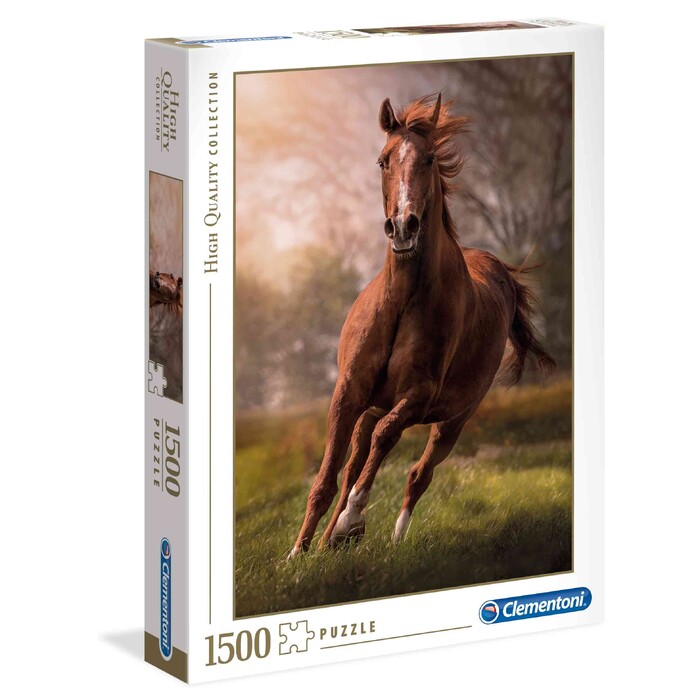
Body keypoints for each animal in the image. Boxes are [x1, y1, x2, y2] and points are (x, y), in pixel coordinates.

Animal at [288, 94, 554, 558]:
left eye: (429, 158)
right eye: (383, 160)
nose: (403, 226)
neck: (401, 301)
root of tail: (500, 269)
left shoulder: (417, 395)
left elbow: (385, 442)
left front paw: (352, 522)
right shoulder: (348, 392)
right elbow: (328, 475)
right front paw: (298, 554)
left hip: (453, 421)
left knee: (417, 473)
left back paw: (387, 538)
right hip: (376, 405)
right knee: (357, 459)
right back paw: (328, 542)